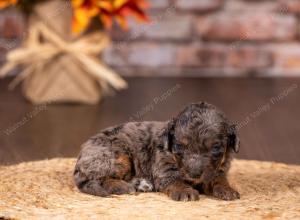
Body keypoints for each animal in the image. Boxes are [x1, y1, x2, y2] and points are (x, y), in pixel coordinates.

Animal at [74, 102, 240, 201]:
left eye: (216, 148)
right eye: (179, 146)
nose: (194, 174)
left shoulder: (218, 170)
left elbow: (219, 179)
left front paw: (227, 189)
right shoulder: (163, 167)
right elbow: (174, 179)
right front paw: (185, 191)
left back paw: (141, 184)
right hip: (116, 157)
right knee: (102, 179)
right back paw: (123, 186)